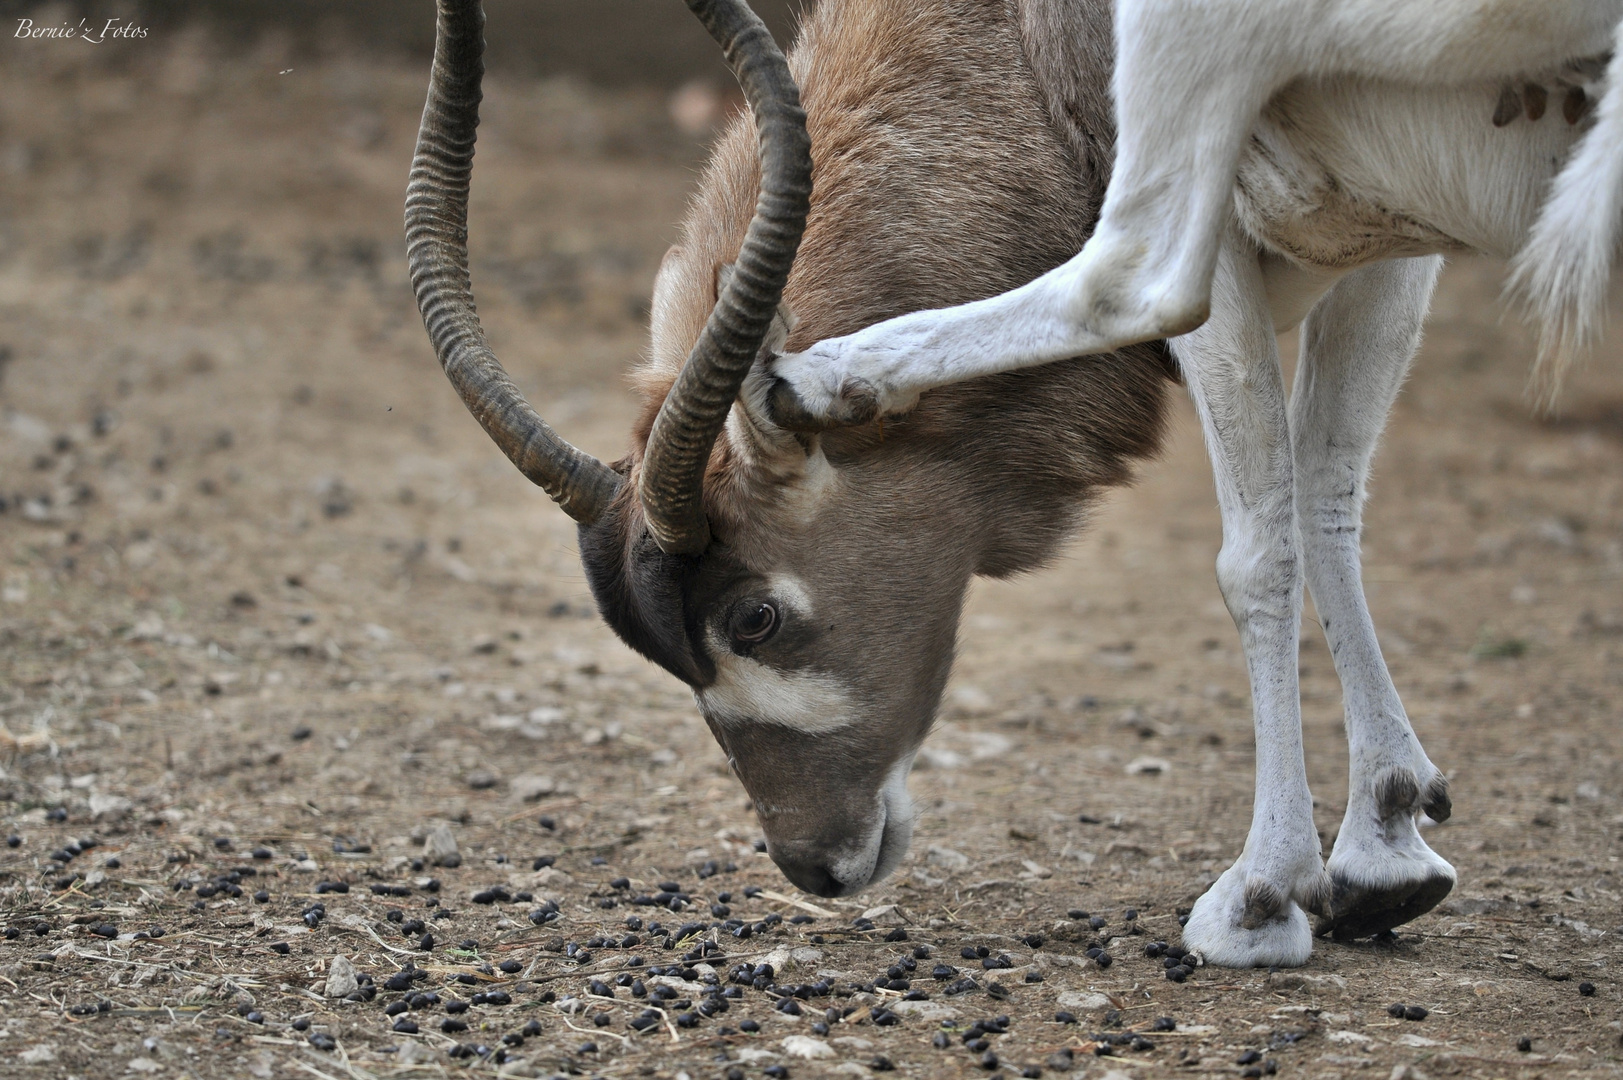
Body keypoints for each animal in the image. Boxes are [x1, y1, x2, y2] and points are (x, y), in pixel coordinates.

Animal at [408, 0, 1610, 961]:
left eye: (755, 616)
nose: (813, 865)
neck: (1021, 45)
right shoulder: (1388, 240)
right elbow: (1327, 506)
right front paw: (1385, 851)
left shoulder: (1216, 210)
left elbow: (1258, 545)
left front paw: (1264, 897)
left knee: (1130, 278)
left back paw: (820, 377)